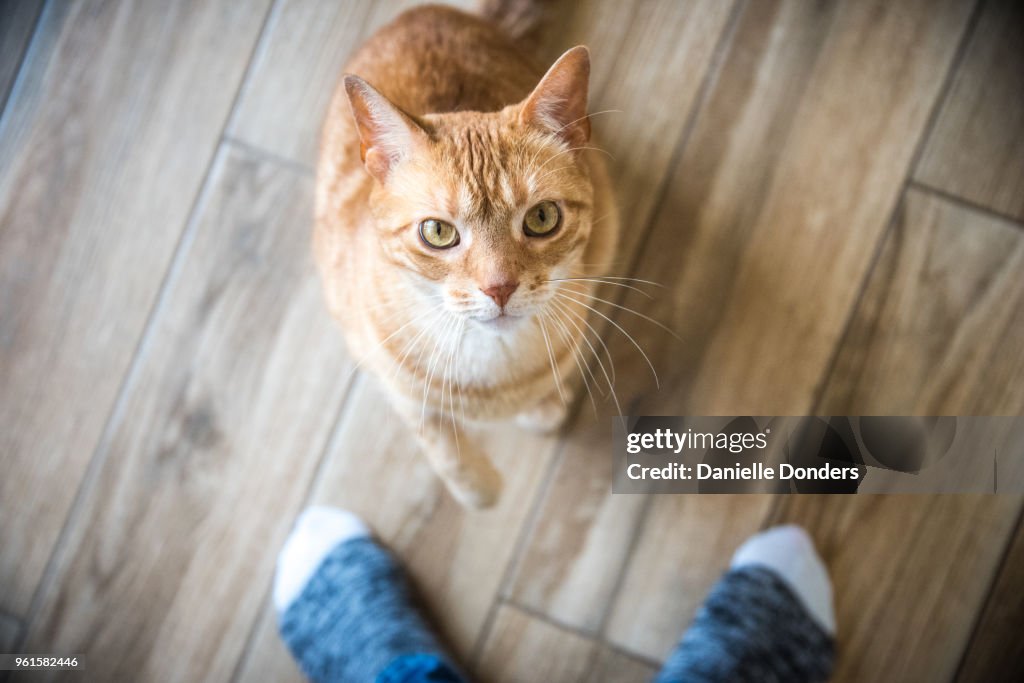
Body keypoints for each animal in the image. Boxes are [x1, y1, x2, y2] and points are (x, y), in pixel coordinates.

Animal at [313, 2, 614, 507]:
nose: (500, 287)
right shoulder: (388, 375)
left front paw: (544, 408)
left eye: (542, 218)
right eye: (438, 232)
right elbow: (438, 441)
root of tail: (426, 12)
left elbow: (544, 391)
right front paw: (479, 486)